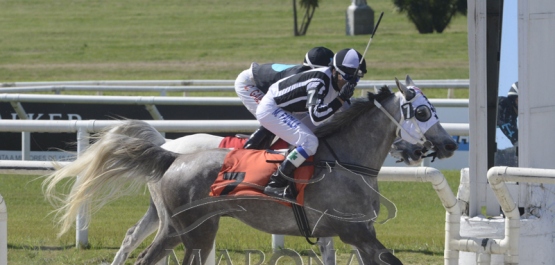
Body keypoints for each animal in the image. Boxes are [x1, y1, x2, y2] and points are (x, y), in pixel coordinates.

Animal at [45, 75, 458, 264]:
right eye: (423, 111)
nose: (451, 144)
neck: (347, 160)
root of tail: (172, 156)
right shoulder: (354, 231)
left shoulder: (354, 234)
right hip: (196, 229)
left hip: (177, 227)